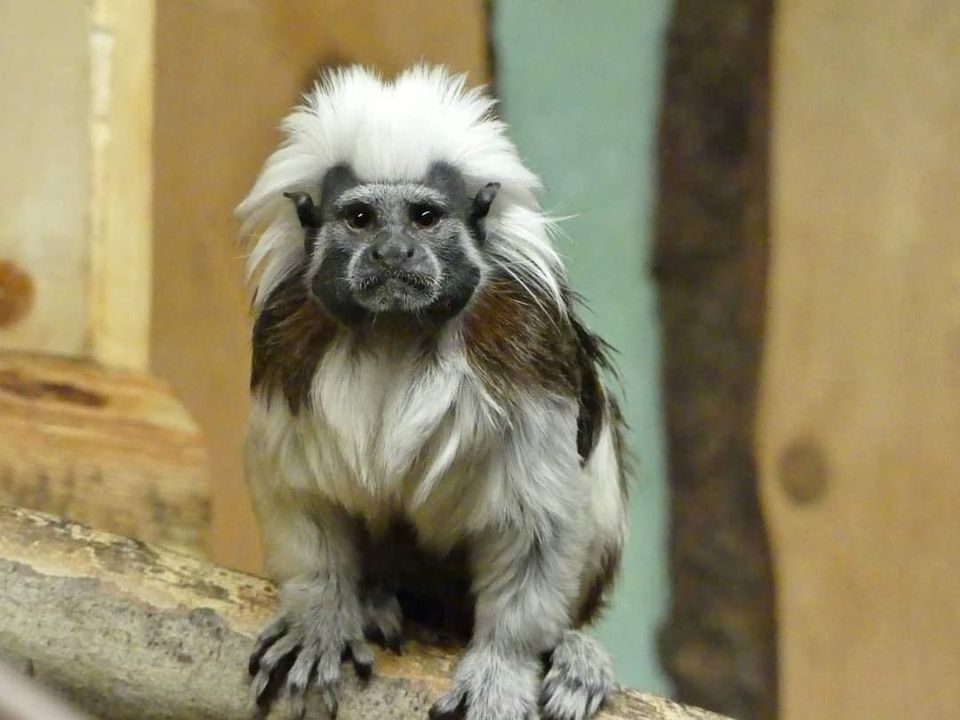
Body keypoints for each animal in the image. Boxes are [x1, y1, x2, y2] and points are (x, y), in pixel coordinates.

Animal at [237, 67, 632, 720]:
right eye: (361, 219)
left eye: (424, 216)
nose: (393, 253)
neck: (397, 332)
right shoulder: (284, 340)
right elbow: (303, 492)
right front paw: (321, 616)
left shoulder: (526, 342)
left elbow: (537, 523)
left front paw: (503, 666)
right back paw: (377, 599)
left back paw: (573, 651)